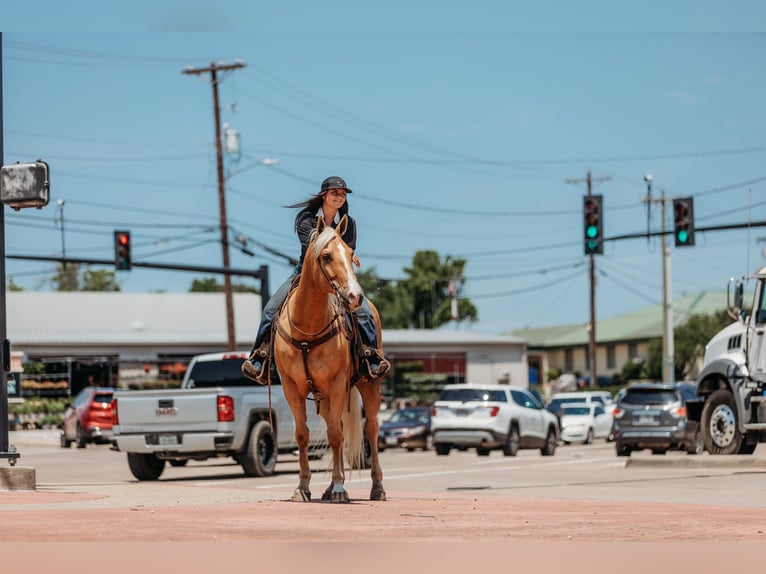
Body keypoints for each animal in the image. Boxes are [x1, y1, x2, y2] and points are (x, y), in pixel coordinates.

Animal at [272, 214, 386, 503]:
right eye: (326, 256)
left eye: (350, 254)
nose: (355, 296)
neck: (307, 327)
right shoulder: (291, 387)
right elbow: (302, 435)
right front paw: (302, 487)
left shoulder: (337, 383)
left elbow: (335, 436)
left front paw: (338, 488)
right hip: (323, 397)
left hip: (369, 385)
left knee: (371, 430)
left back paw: (377, 487)